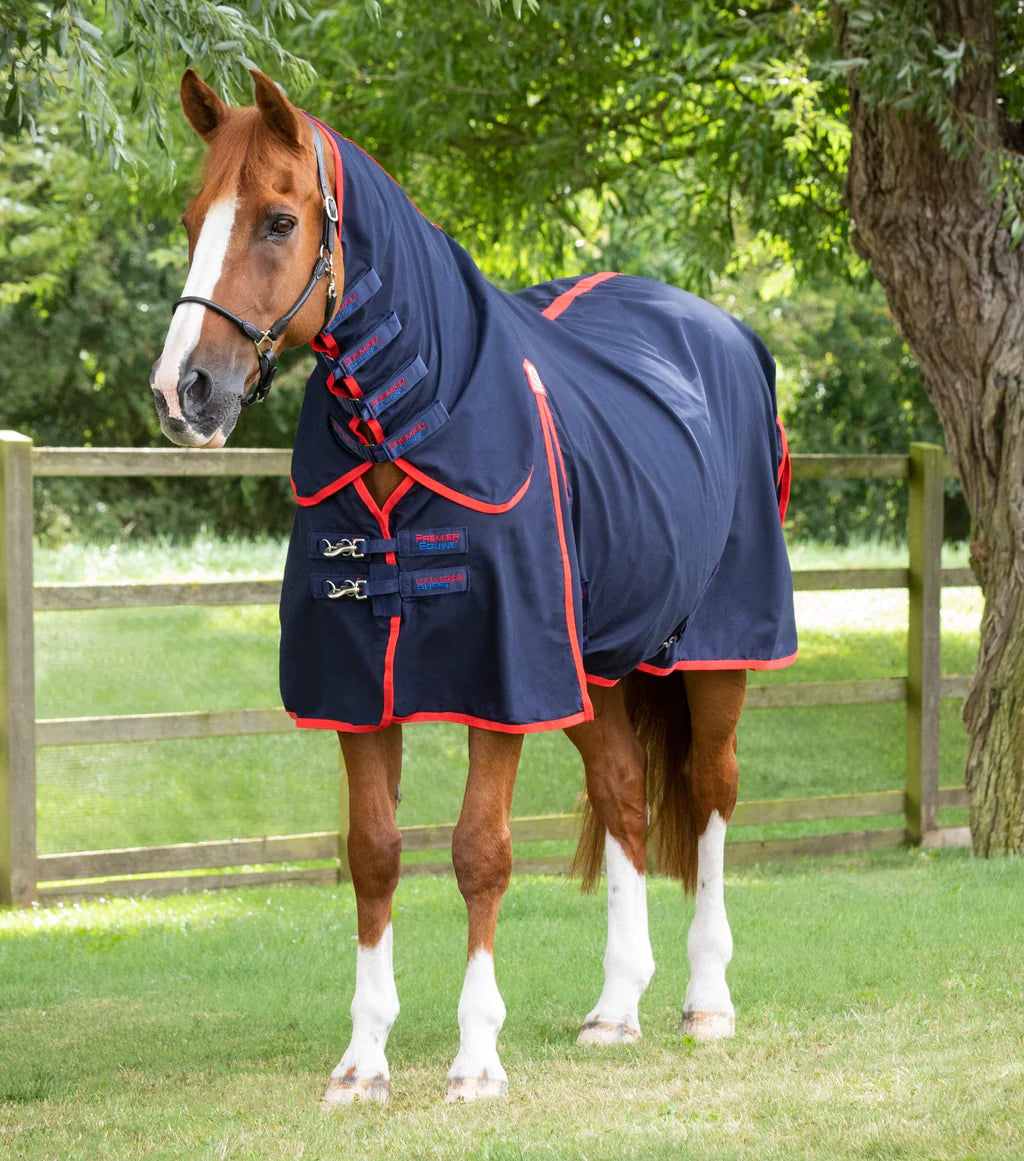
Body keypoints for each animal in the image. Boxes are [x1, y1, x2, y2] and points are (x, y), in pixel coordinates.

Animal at [150, 69, 797, 1106]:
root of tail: (717, 330)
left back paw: (706, 1001)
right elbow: (374, 855)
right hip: (593, 667)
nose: (184, 392)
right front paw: (363, 1060)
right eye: (189, 219)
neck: (419, 420)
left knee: (709, 794)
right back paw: (616, 1007)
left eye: (280, 221)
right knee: (624, 793)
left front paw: (476, 1058)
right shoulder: (362, 687)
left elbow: (479, 852)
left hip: (713, 655)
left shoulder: (504, 678)